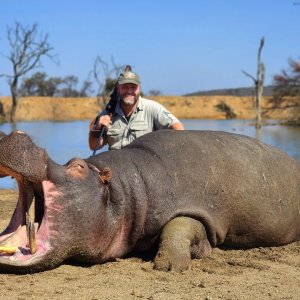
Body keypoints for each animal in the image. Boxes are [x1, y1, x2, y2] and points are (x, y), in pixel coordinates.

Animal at [0, 129, 298, 274]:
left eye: (77, 166)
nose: (16, 133)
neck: (122, 191)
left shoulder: (199, 212)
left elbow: (179, 227)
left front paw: (168, 267)